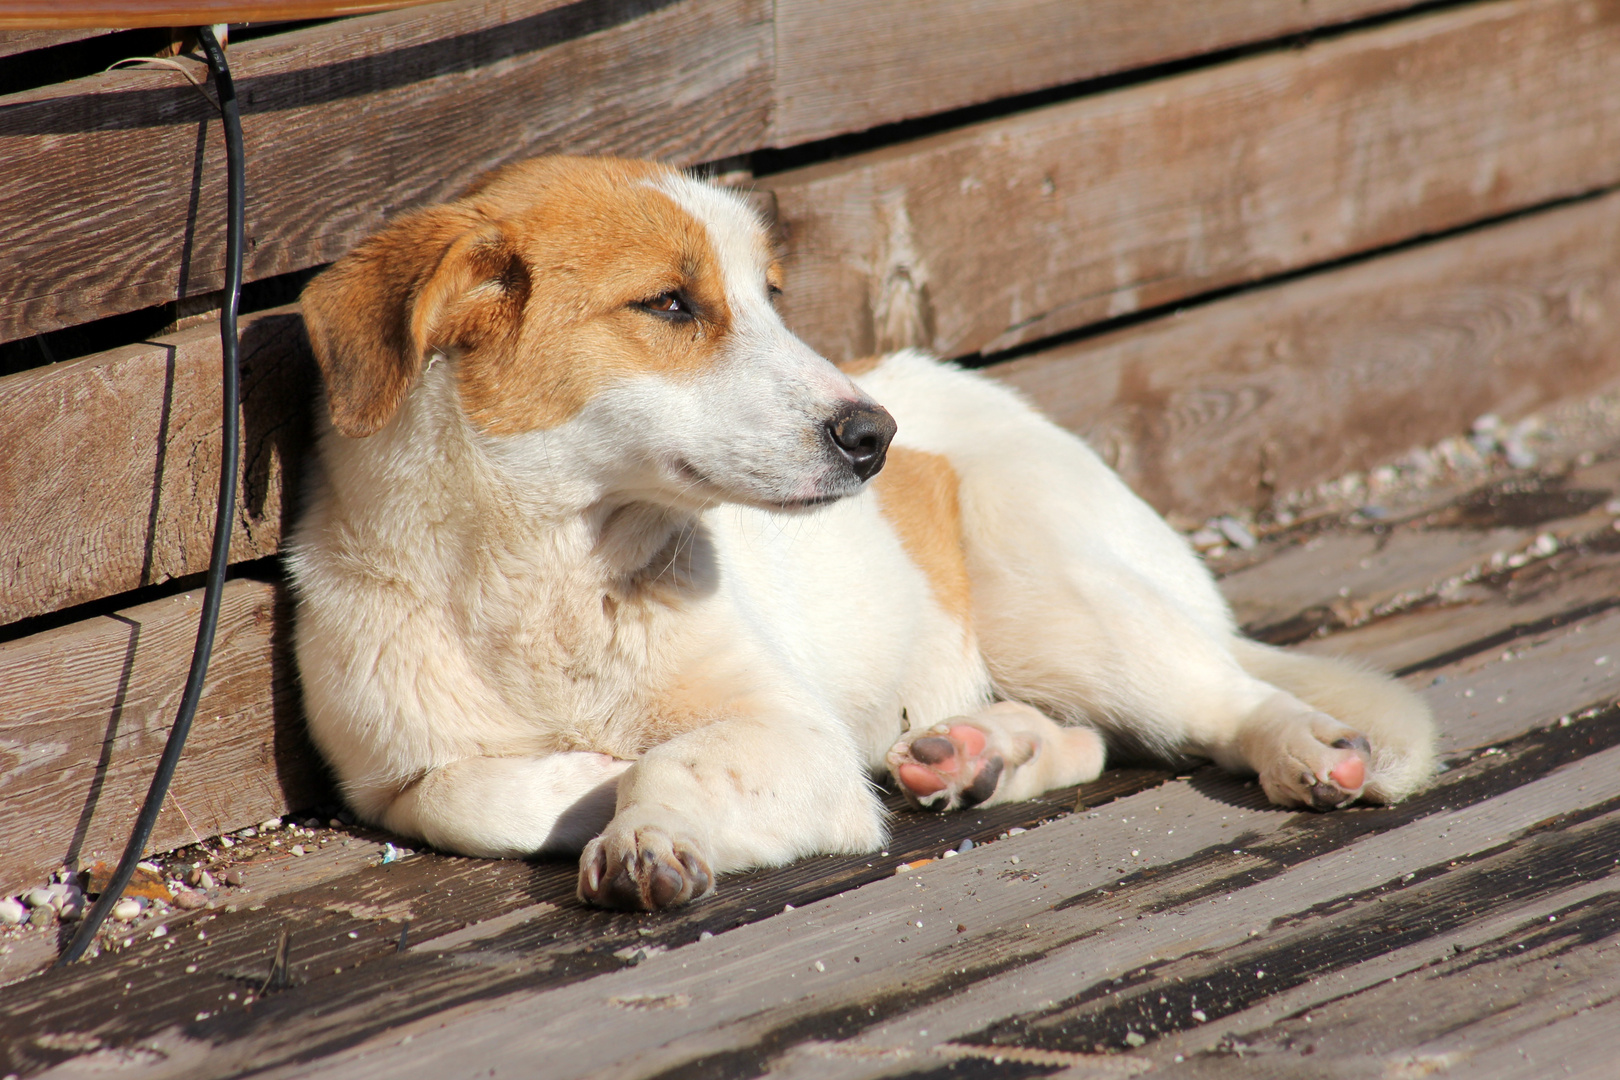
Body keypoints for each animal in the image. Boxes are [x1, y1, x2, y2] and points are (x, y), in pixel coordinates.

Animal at [285, 153, 1438, 913]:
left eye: (770, 297)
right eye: (670, 305)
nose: (873, 437)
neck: (546, 575)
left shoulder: (795, 735)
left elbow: (678, 762)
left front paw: (636, 814)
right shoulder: (390, 778)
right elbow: (465, 794)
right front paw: (584, 781)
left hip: (1053, 593)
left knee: (1221, 698)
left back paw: (1306, 748)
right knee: (1088, 734)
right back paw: (976, 754)